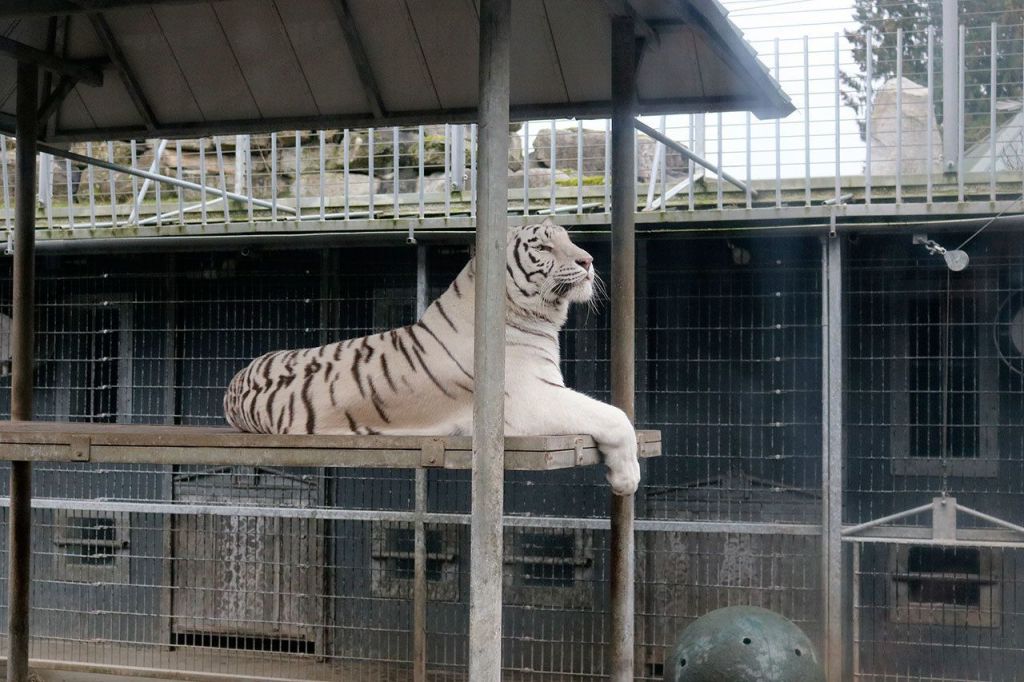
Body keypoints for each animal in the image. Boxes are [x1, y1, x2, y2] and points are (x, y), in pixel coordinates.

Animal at [223, 218, 640, 495]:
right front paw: (627, 480)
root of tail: (232, 383)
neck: (537, 318)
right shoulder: (528, 399)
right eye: (543, 247)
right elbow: (615, 416)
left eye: (569, 240)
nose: (588, 261)